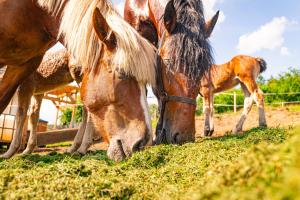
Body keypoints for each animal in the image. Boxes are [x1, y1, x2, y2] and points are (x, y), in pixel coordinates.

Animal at [0, 0, 157, 160]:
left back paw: (79, 147)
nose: (142, 143)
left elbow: (20, 113)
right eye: (121, 72)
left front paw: (12, 151)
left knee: (87, 114)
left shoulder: (26, 77)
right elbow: (30, 115)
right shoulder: (29, 80)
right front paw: (25, 149)